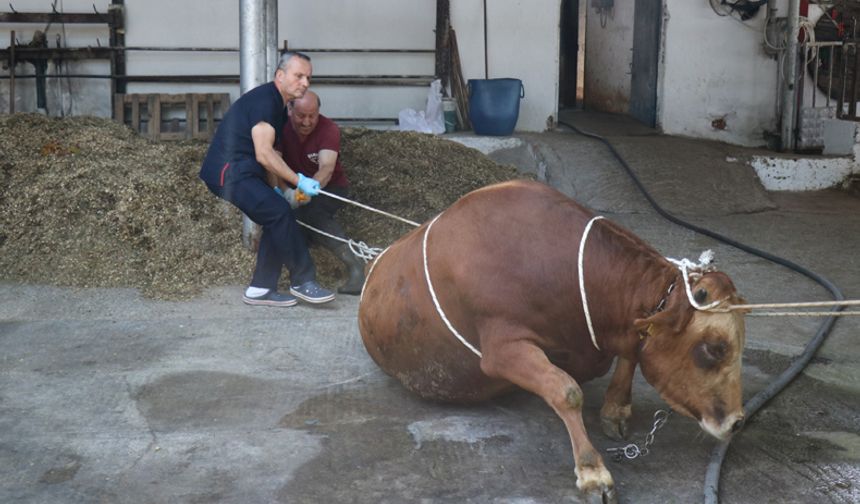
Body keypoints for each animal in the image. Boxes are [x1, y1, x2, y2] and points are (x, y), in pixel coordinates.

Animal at [356, 179, 744, 502]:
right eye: (714, 348)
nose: (737, 422)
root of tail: (373, 261)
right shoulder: (501, 350)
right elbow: (566, 391)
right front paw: (592, 473)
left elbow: (632, 352)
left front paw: (616, 409)